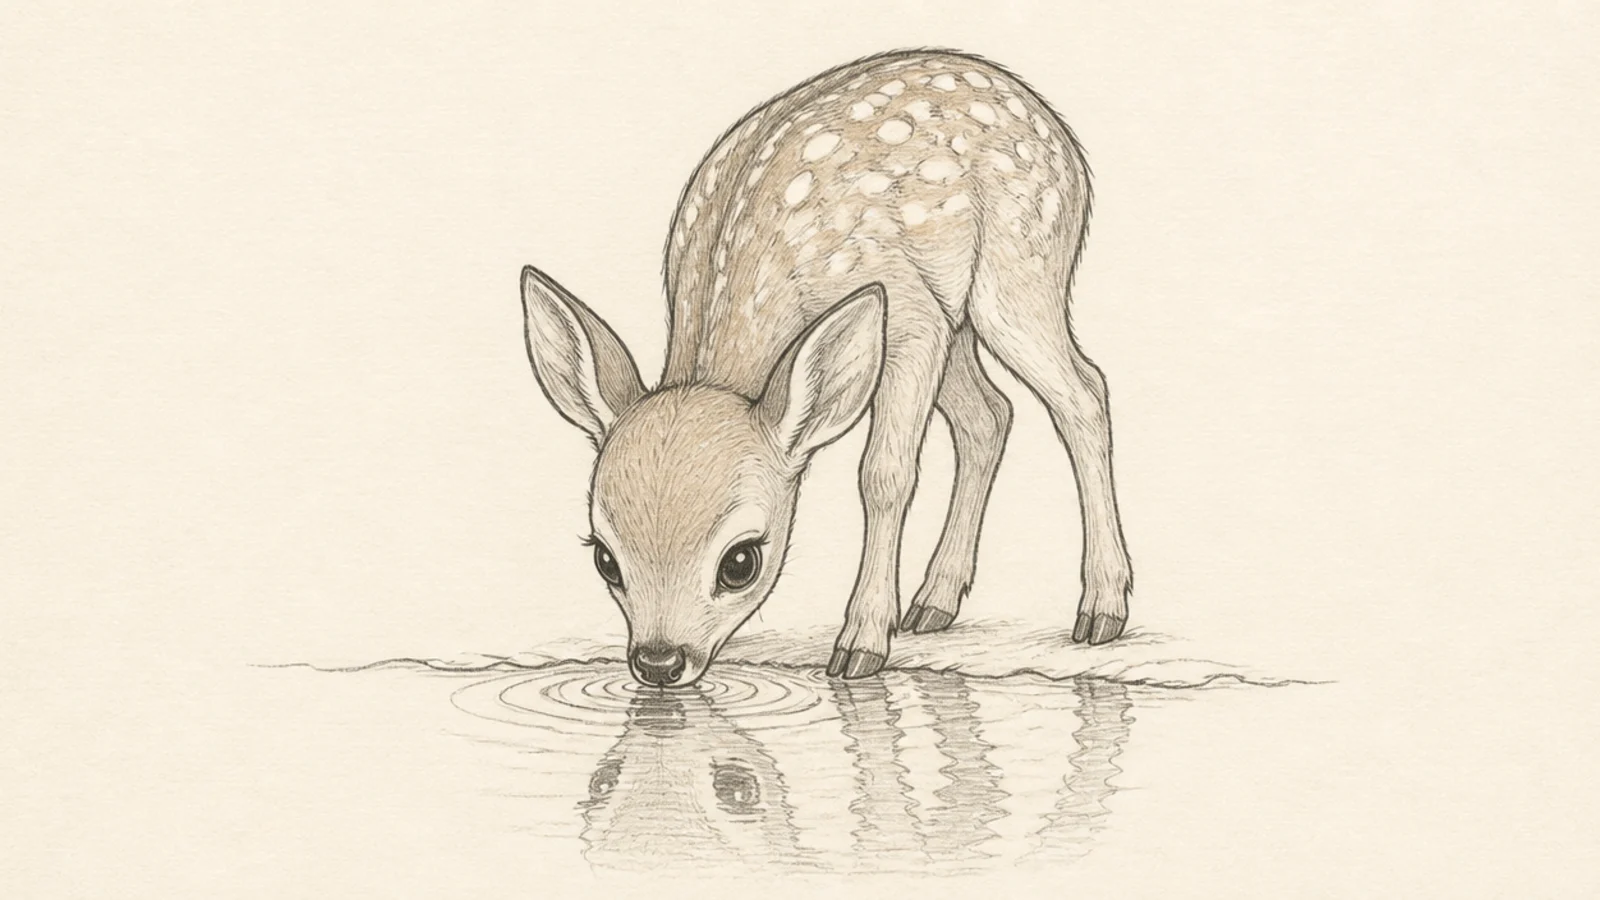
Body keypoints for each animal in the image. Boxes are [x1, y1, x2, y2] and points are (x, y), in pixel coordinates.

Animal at [519, 48, 1133, 686]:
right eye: (604, 558)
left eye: (740, 561)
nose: (658, 662)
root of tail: (1054, 126)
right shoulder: (924, 316)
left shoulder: (908, 314)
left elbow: (884, 473)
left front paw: (861, 644)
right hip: (958, 313)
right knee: (990, 414)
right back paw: (934, 602)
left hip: (1017, 271)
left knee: (1083, 392)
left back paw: (1102, 610)